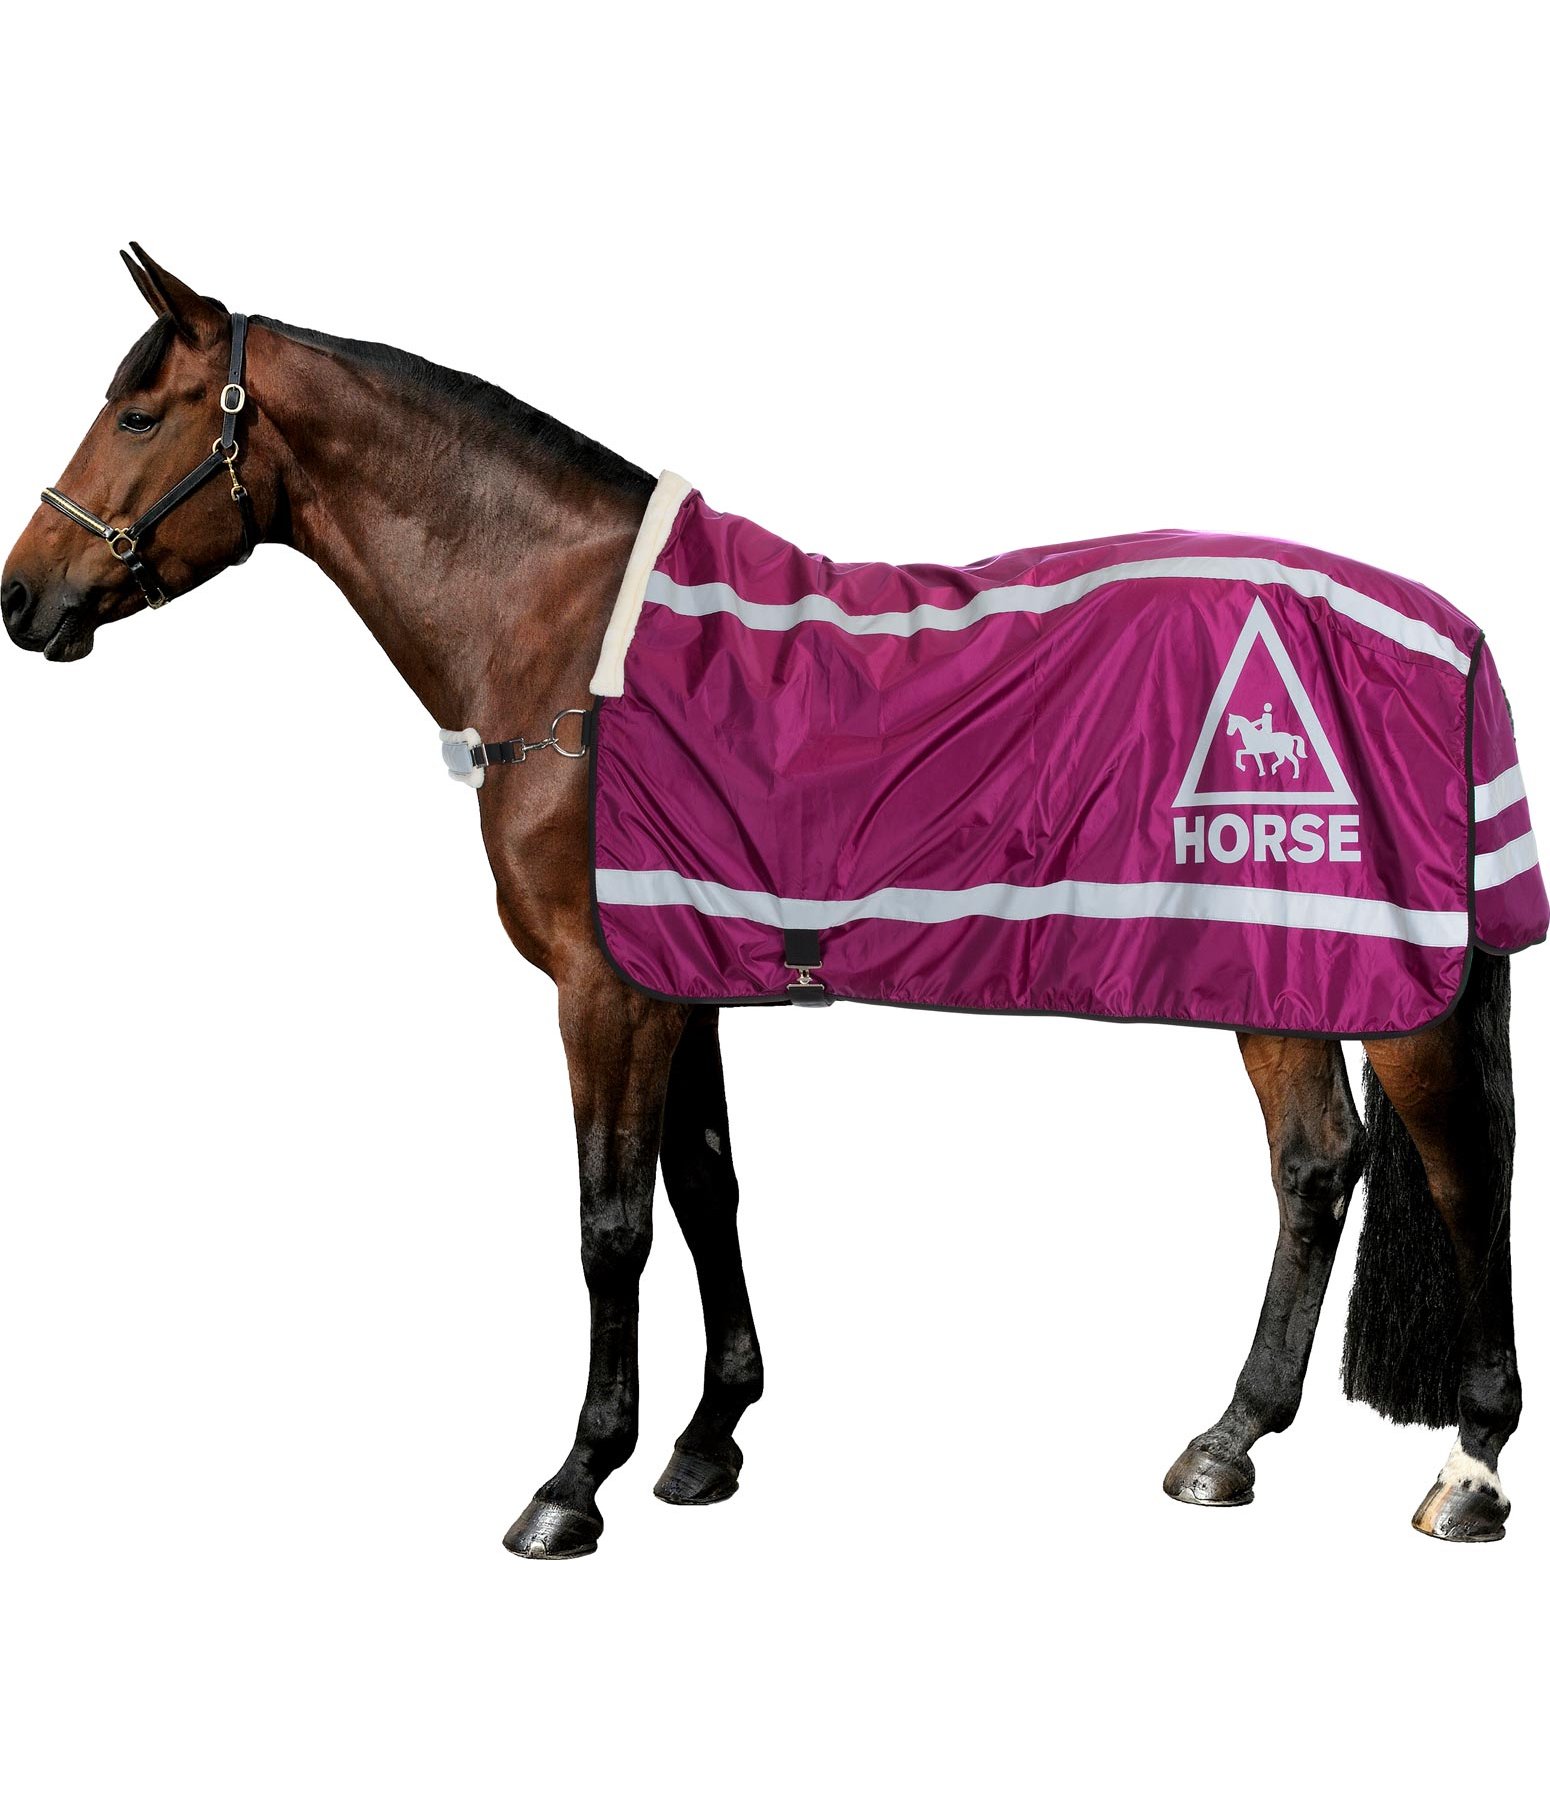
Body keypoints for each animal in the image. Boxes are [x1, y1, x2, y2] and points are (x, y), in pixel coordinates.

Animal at [2, 247, 1525, 1556]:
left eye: (138, 411)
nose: (23, 597)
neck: (569, 644)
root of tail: (1448, 634)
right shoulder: (677, 978)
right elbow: (706, 1187)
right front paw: (706, 1440)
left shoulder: (601, 990)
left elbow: (610, 1224)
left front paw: (575, 1481)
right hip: (1280, 972)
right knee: (1315, 1168)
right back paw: (1227, 1442)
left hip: (1378, 987)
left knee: (1463, 1169)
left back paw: (1468, 1467)